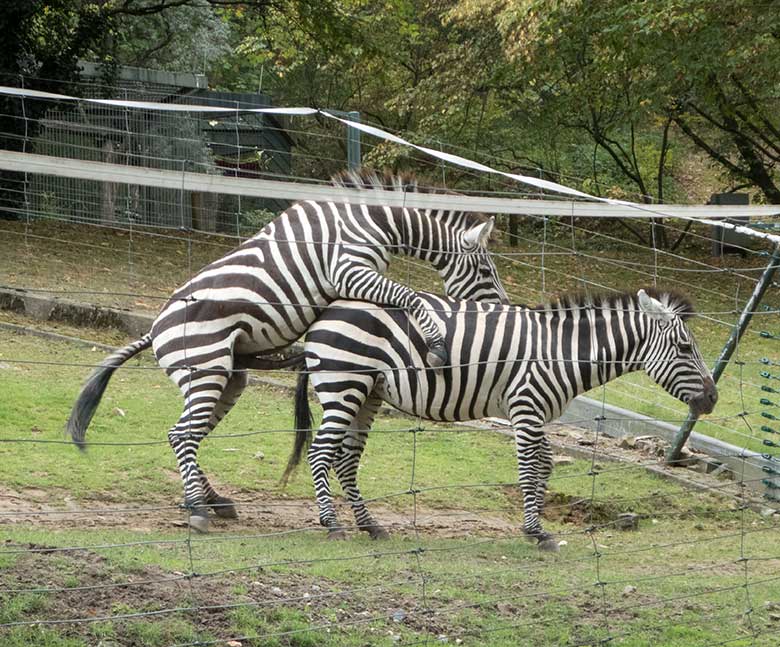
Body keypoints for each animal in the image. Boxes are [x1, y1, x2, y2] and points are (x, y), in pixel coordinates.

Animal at [65, 170, 506, 536]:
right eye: (486, 271)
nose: (501, 306)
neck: (374, 222)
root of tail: (154, 330)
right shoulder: (349, 271)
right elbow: (408, 295)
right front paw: (436, 345)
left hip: (228, 379)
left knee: (191, 435)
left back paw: (212, 500)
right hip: (205, 371)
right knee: (182, 434)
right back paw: (198, 509)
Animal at [284, 288, 712, 552]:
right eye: (684, 347)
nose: (712, 398)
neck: (562, 353)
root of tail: (326, 312)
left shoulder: (536, 413)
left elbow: (546, 464)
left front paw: (537, 526)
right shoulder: (526, 406)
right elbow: (528, 468)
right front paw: (535, 530)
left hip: (369, 392)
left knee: (346, 459)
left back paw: (370, 525)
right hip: (345, 383)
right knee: (321, 453)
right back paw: (333, 525)